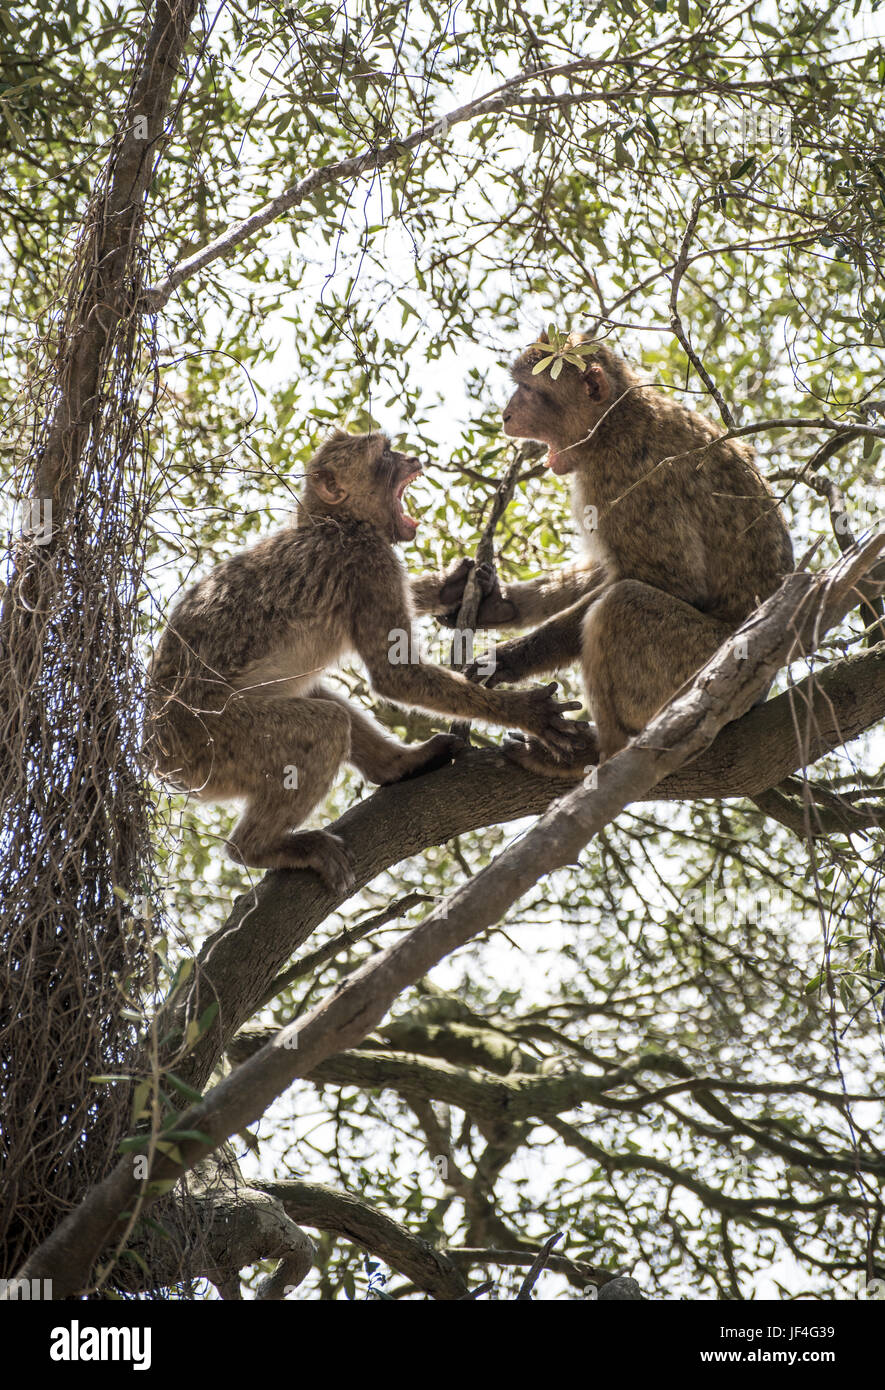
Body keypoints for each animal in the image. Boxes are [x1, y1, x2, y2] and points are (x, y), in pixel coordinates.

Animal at [144, 428, 582, 890]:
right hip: (211, 743)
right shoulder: (369, 559)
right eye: (385, 454)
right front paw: (525, 712)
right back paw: (257, 848)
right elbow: (396, 674)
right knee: (323, 726)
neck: (333, 522)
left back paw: (398, 765)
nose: (412, 459)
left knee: (321, 700)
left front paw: (450, 586)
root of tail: (155, 752)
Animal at [464, 334, 794, 772]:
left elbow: (666, 581)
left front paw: (511, 659)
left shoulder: (626, 476)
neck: (614, 420)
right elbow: (607, 567)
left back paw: (598, 754)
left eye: (530, 390)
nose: (505, 415)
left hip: (703, 673)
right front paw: (499, 604)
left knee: (621, 605)